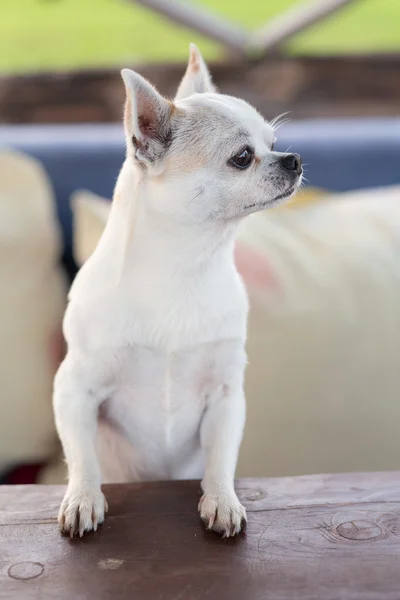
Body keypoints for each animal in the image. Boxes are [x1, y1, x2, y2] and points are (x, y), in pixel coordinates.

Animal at [54, 44, 304, 536]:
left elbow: (220, 458)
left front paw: (222, 500)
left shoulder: (226, 397)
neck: (187, 266)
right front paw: (83, 498)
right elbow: (83, 457)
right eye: (243, 157)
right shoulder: (73, 390)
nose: (293, 159)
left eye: (273, 142)